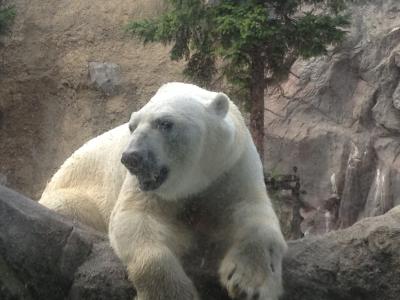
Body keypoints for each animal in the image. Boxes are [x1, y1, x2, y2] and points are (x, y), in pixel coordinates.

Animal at [39, 82, 286, 300]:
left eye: (165, 123)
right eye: (132, 126)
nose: (131, 157)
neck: (194, 178)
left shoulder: (230, 165)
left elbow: (253, 213)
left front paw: (248, 284)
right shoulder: (146, 188)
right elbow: (135, 218)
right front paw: (172, 292)